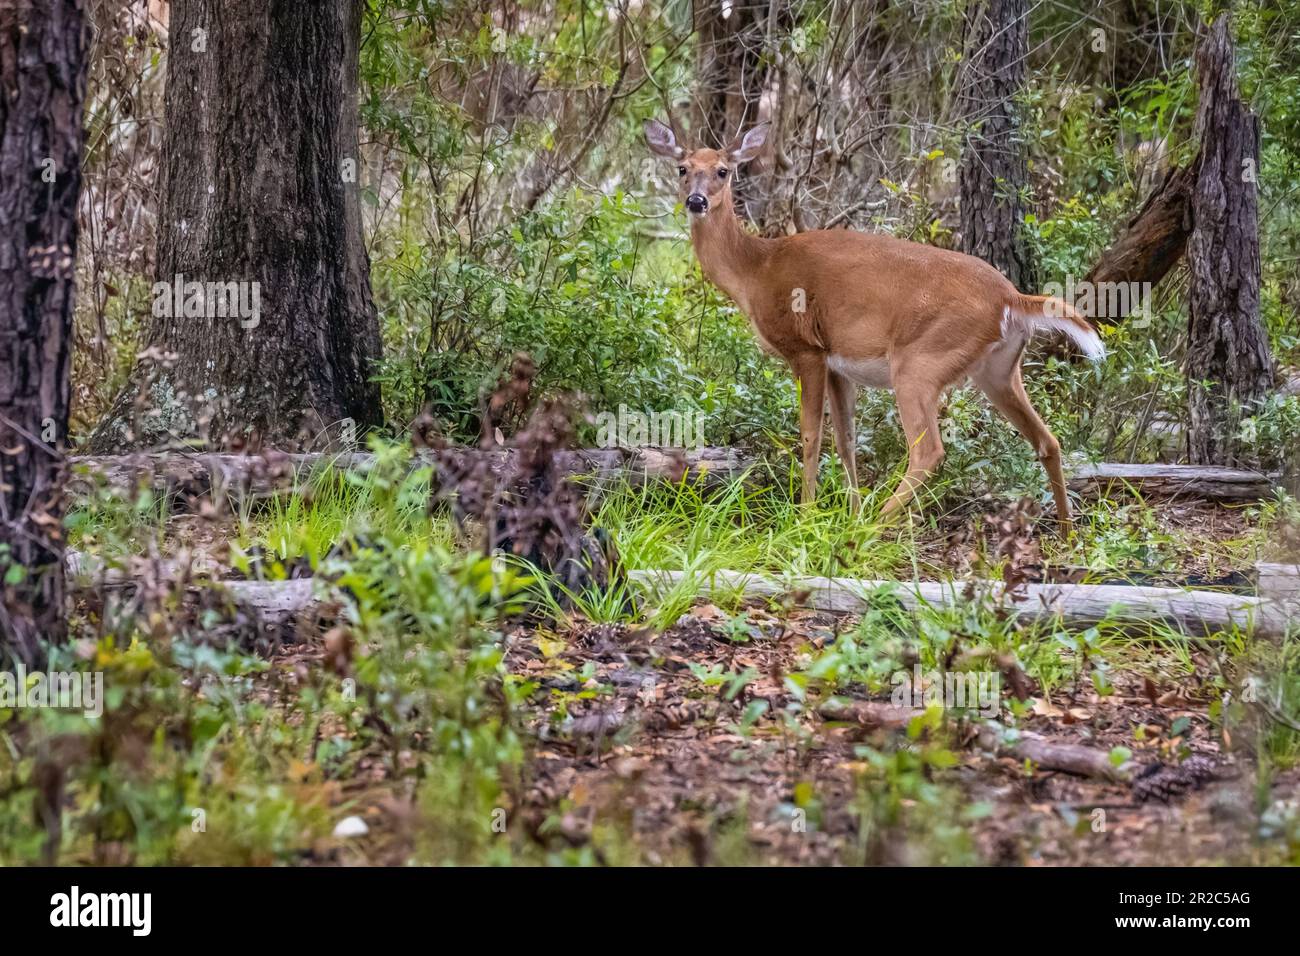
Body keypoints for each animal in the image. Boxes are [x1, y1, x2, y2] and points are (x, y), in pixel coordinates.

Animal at [644, 119, 1104, 535]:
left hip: (920, 361)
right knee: (1048, 440)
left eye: (723, 170)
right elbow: (846, 439)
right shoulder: (837, 363)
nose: (697, 201)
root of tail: (1010, 298)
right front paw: (849, 509)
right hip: (998, 369)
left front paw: (806, 516)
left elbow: (811, 436)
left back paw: (873, 527)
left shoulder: (806, 350)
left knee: (929, 452)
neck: (757, 269)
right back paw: (1067, 534)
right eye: (682, 167)